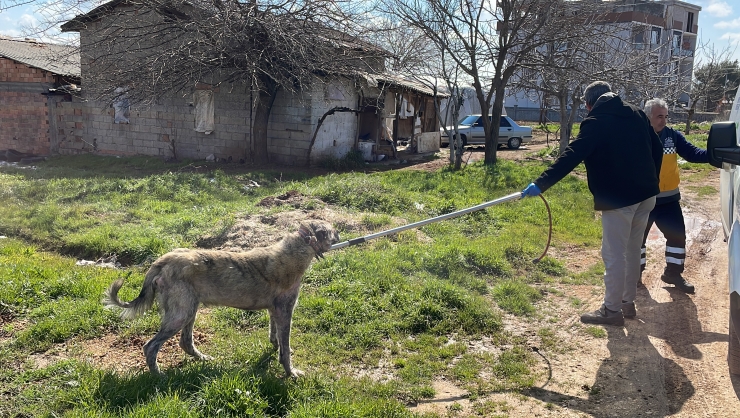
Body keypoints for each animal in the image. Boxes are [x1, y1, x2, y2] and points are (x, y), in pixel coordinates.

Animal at [102, 220, 340, 378]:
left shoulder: (275, 311)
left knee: (185, 342)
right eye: (331, 231)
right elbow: (285, 350)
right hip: (181, 314)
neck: (299, 246)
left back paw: (202, 359)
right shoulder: (285, 312)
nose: (339, 234)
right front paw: (291, 372)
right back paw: (159, 376)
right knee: (150, 347)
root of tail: (162, 260)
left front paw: (278, 349)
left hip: (190, 309)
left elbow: (276, 339)